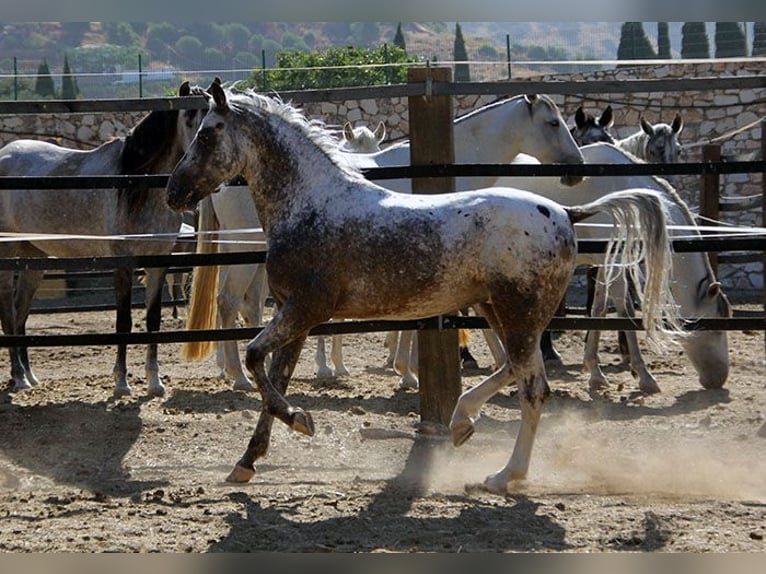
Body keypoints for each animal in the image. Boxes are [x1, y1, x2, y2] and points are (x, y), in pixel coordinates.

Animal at [189, 93, 584, 392]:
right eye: (553, 123)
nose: (576, 168)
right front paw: (408, 371)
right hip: (244, 254)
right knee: (229, 302)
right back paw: (242, 377)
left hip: (247, 257)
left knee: (248, 305)